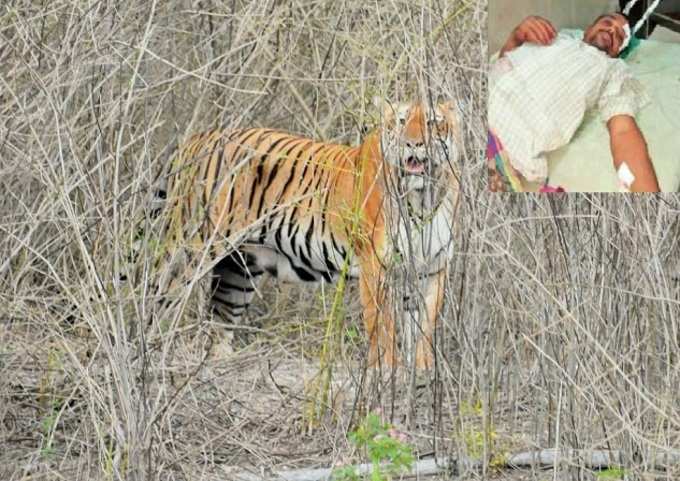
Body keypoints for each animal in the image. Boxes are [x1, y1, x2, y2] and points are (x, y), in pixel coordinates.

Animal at [156, 98, 460, 368]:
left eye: (433, 122)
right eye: (401, 121)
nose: (413, 143)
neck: (424, 196)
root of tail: (198, 138)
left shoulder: (433, 267)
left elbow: (425, 325)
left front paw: (422, 370)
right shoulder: (376, 265)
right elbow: (382, 325)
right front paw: (386, 371)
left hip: (239, 270)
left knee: (220, 322)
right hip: (192, 250)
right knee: (158, 296)